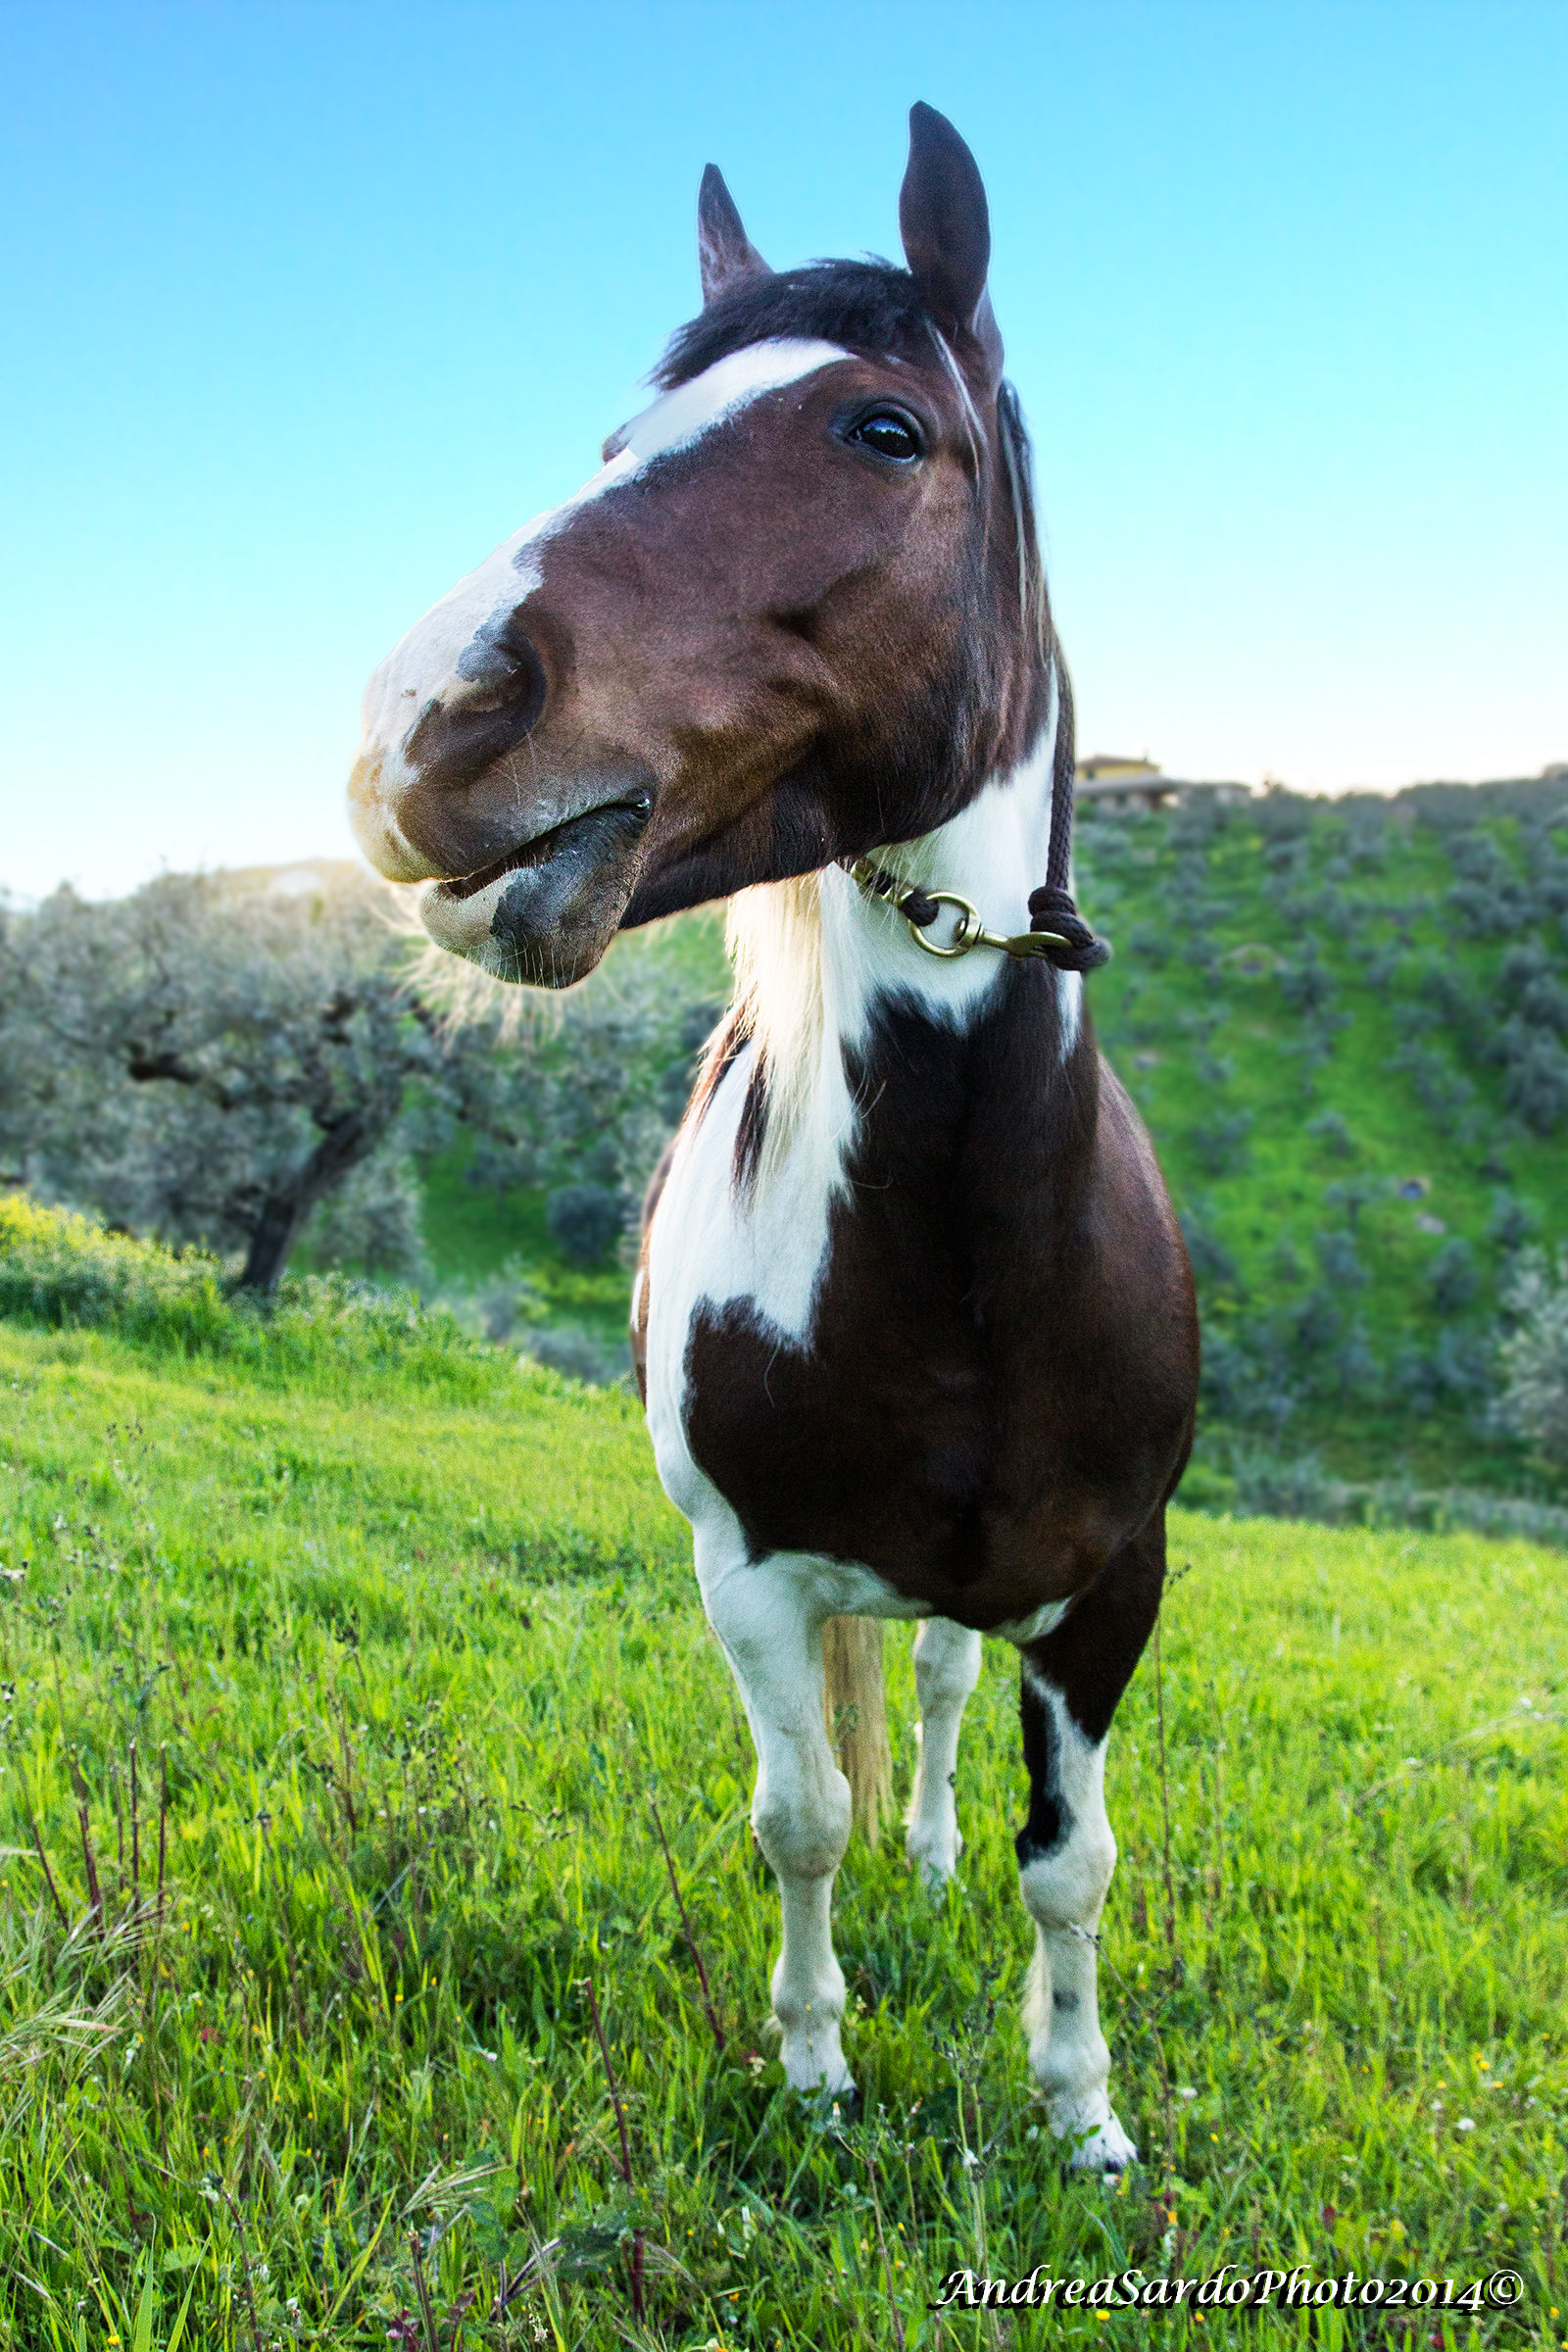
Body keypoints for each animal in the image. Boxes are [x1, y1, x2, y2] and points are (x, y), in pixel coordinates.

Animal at [349, 103, 1199, 2173]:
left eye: (883, 430)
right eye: (617, 439)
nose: (424, 724)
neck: (964, 1249)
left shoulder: (1108, 1588)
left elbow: (1075, 1866)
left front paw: (1081, 2113)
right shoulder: (747, 1566)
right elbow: (795, 1817)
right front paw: (815, 2066)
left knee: (951, 1689)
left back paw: (942, 1847)